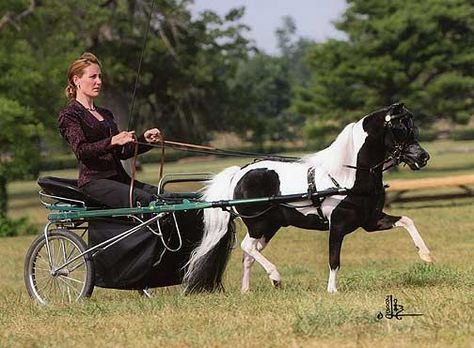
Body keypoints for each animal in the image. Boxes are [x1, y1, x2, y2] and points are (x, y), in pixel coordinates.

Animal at [183, 104, 432, 294]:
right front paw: (332, 290)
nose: (423, 157)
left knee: (249, 254)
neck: (348, 177)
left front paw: (426, 254)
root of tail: (240, 173)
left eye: (413, 128)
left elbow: (407, 220)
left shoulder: (371, 221)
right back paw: (275, 277)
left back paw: (246, 291)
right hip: (257, 224)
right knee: (247, 247)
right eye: (399, 129)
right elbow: (334, 258)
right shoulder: (337, 226)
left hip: (270, 226)